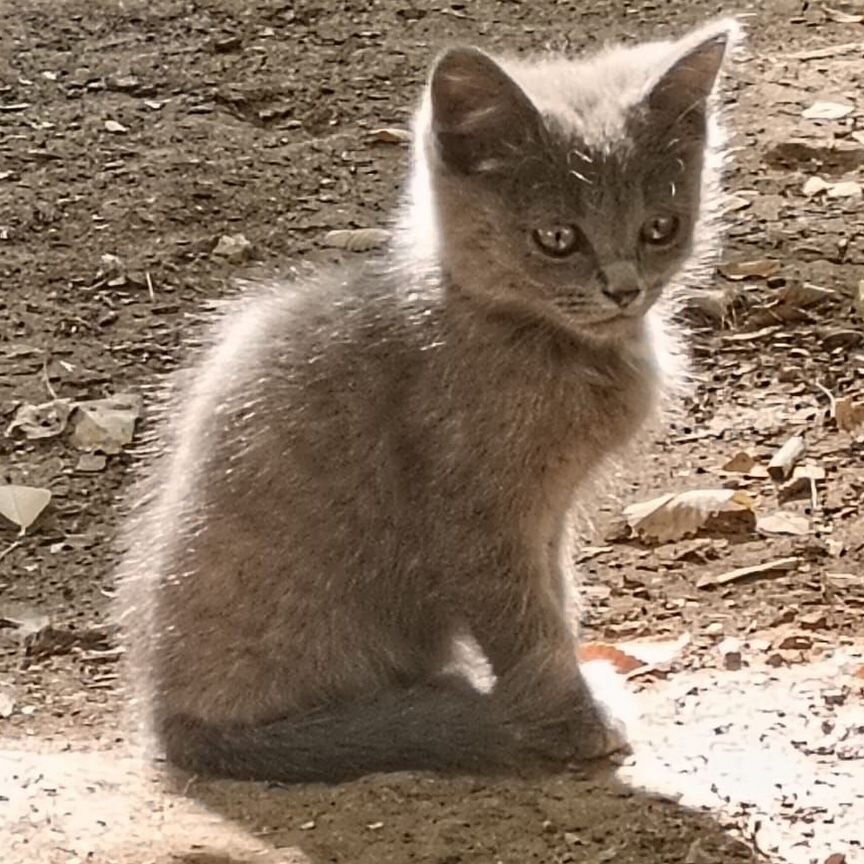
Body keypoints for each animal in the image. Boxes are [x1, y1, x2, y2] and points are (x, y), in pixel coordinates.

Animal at [116, 20, 736, 784]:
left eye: (660, 227)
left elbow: (558, 594)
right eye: (557, 238)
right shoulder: (476, 514)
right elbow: (527, 622)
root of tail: (169, 723)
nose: (624, 289)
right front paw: (572, 718)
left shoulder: (548, 517)